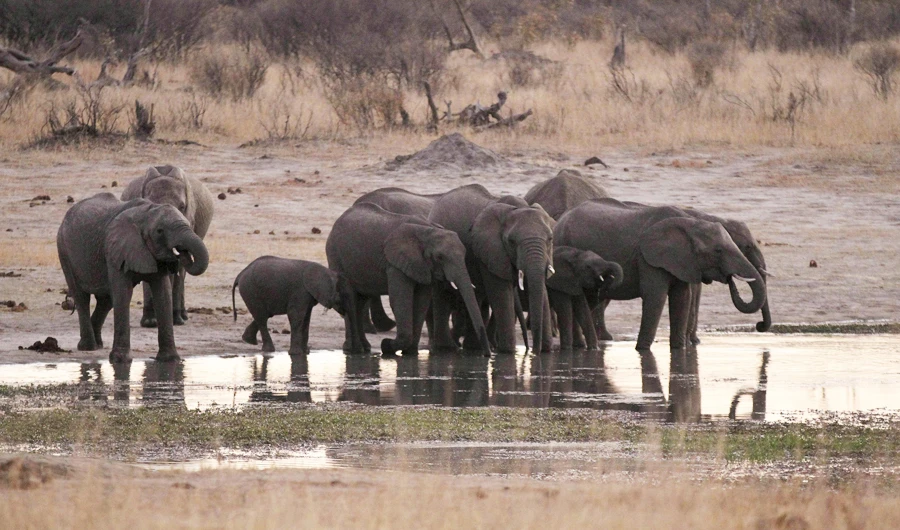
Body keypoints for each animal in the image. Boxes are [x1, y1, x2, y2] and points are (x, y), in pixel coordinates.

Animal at [57, 193, 209, 363]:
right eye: (160, 231)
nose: (181, 253)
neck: (147, 212)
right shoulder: (115, 249)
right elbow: (123, 293)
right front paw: (120, 361)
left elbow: (163, 295)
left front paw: (170, 360)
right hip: (64, 250)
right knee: (82, 297)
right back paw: (88, 347)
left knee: (106, 301)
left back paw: (98, 344)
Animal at [326, 202, 491, 356]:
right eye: (440, 257)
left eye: (464, 254)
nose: (487, 355)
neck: (429, 230)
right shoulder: (395, 263)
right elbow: (400, 301)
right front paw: (386, 346)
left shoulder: (423, 265)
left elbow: (421, 302)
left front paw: (410, 353)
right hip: (336, 256)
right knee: (350, 298)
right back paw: (353, 350)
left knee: (361, 301)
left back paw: (364, 348)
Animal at [428, 184, 555, 354]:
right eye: (511, 241)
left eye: (550, 239)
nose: (533, 350)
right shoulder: (490, 249)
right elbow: (500, 294)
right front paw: (508, 352)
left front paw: (547, 351)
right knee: (443, 294)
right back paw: (448, 348)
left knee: (477, 297)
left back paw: (473, 348)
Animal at [554, 198, 767, 353]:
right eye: (718, 251)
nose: (760, 325)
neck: (691, 223)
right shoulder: (649, 259)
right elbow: (656, 297)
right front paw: (642, 351)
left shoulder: (682, 261)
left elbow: (682, 299)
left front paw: (679, 350)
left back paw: (580, 347)